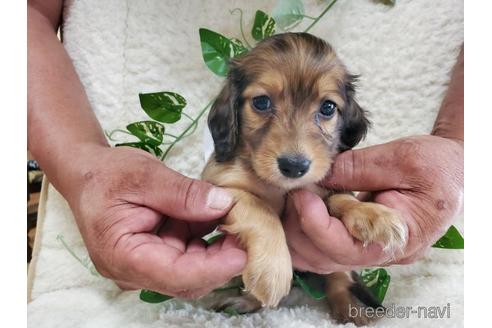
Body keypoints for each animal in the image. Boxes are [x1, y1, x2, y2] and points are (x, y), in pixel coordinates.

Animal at [201, 33, 408, 326]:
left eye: (328, 107)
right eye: (261, 102)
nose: (294, 166)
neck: (284, 188)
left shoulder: (325, 186)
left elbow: (342, 199)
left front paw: (374, 216)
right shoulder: (222, 185)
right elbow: (261, 209)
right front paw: (272, 271)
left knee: (338, 281)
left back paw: (351, 312)